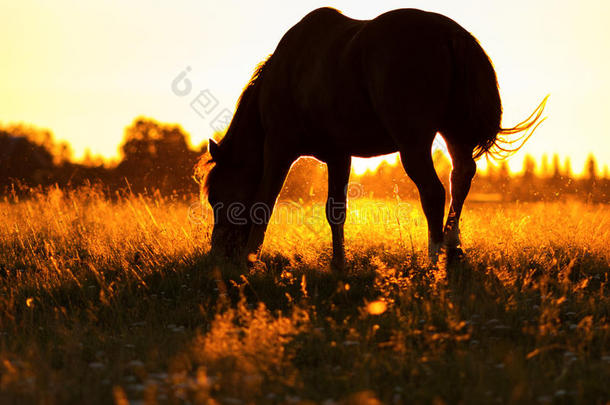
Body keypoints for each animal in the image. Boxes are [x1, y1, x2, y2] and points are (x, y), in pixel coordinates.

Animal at [201, 7, 548, 268]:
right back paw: (453, 248)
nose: (218, 254)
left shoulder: (278, 147)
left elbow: (264, 203)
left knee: (434, 192)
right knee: (461, 177)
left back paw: (435, 256)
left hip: (413, 142)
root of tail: (450, 35)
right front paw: (338, 265)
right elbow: (336, 211)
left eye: (215, 196)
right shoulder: (339, 154)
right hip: (453, 134)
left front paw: (249, 261)